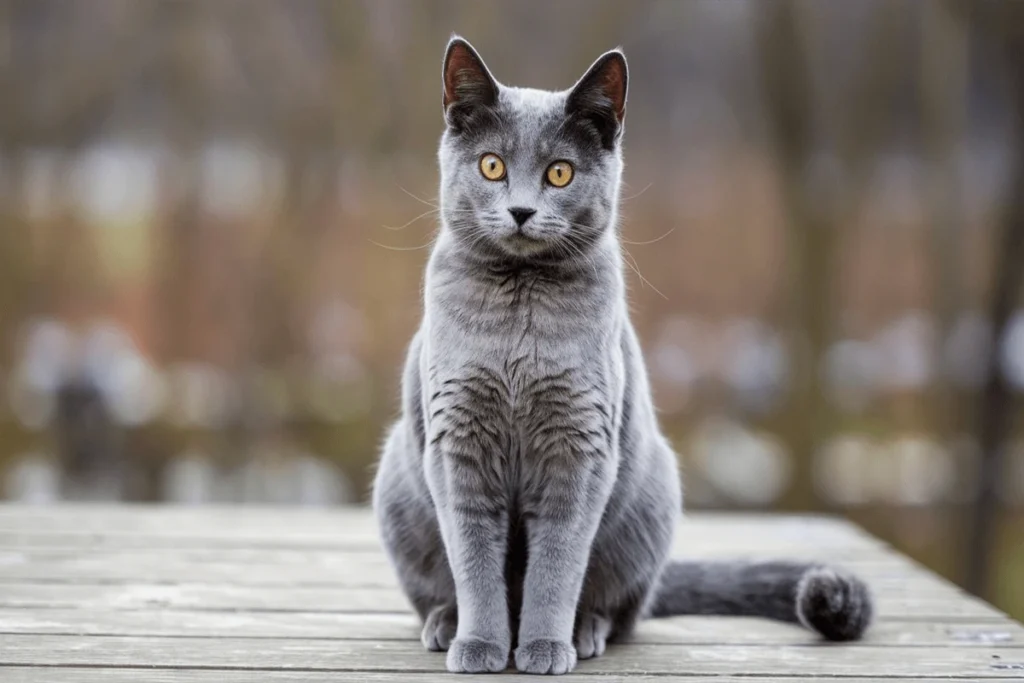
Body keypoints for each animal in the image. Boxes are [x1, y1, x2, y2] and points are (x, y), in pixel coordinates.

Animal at [372, 36, 868, 671]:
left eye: (560, 173)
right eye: (492, 166)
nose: (522, 211)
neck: (518, 319)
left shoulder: (580, 445)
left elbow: (557, 564)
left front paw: (542, 647)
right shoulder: (457, 440)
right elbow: (475, 560)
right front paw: (482, 644)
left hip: (652, 490)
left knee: (620, 606)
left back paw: (584, 631)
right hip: (398, 480)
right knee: (440, 585)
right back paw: (446, 622)